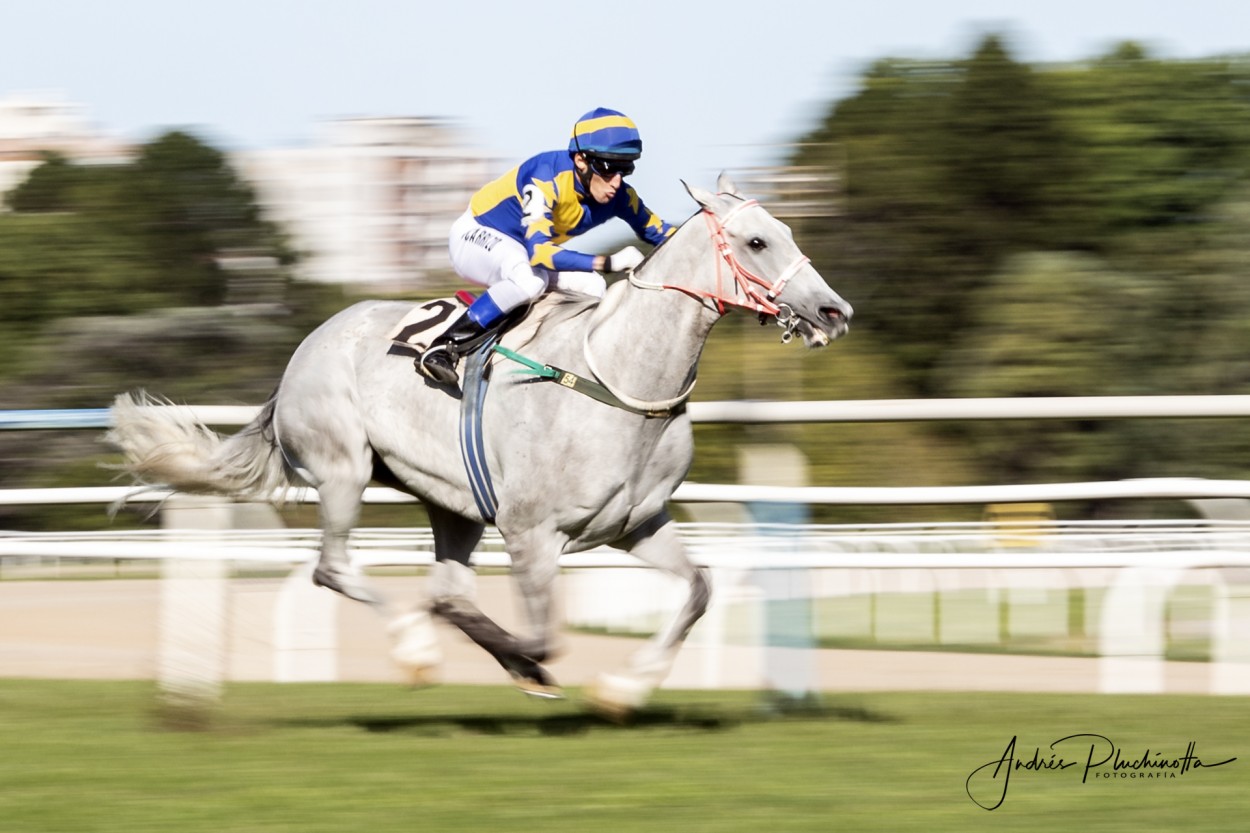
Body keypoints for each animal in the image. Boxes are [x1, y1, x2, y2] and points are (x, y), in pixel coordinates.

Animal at [105, 171, 850, 710]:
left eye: (785, 229)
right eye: (756, 242)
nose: (834, 310)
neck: (617, 380)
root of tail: (303, 351)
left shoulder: (635, 522)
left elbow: (696, 591)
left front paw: (622, 688)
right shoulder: (530, 532)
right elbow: (547, 636)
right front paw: (533, 665)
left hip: (452, 503)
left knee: (447, 591)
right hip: (344, 468)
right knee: (336, 569)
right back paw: (415, 648)